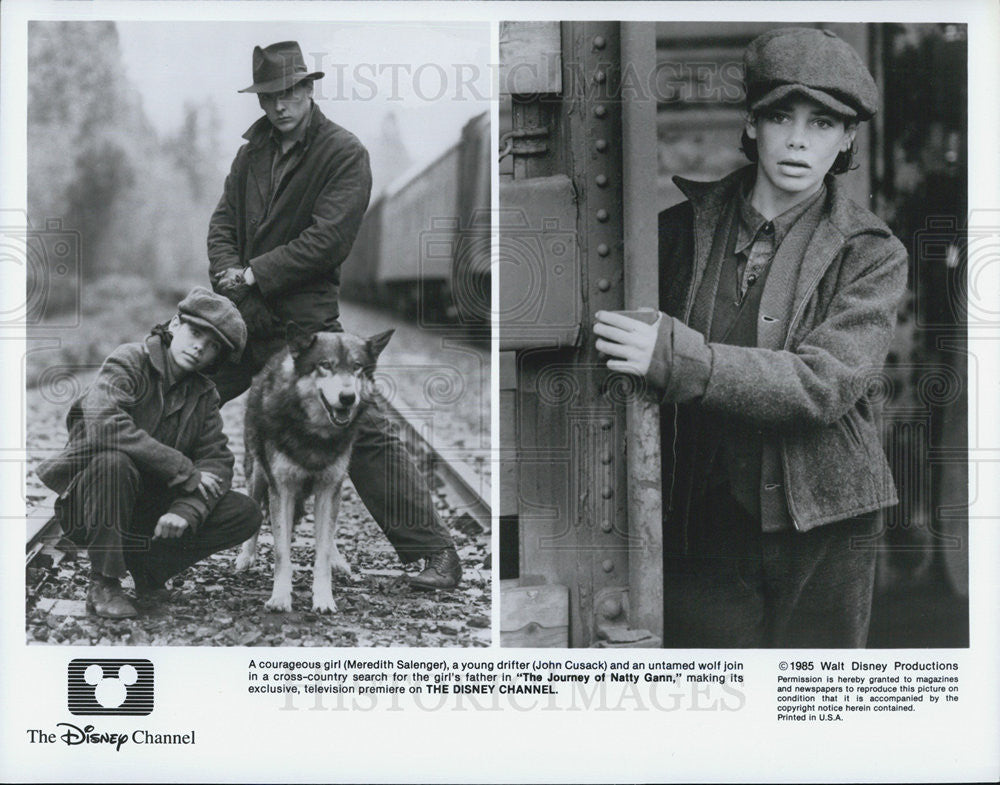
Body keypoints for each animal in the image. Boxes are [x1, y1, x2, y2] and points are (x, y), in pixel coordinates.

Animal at [236, 320, 392, 612]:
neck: (315, 436)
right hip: (258, 476)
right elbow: (281, 551)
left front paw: (323, 599)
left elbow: (322, 553)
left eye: (356, 367)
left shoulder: (330, 489)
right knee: (256, 512)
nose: (347, 397)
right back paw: (245, 557)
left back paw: (339, 561)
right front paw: (280, 598)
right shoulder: (282, 489)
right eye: (325, 365)